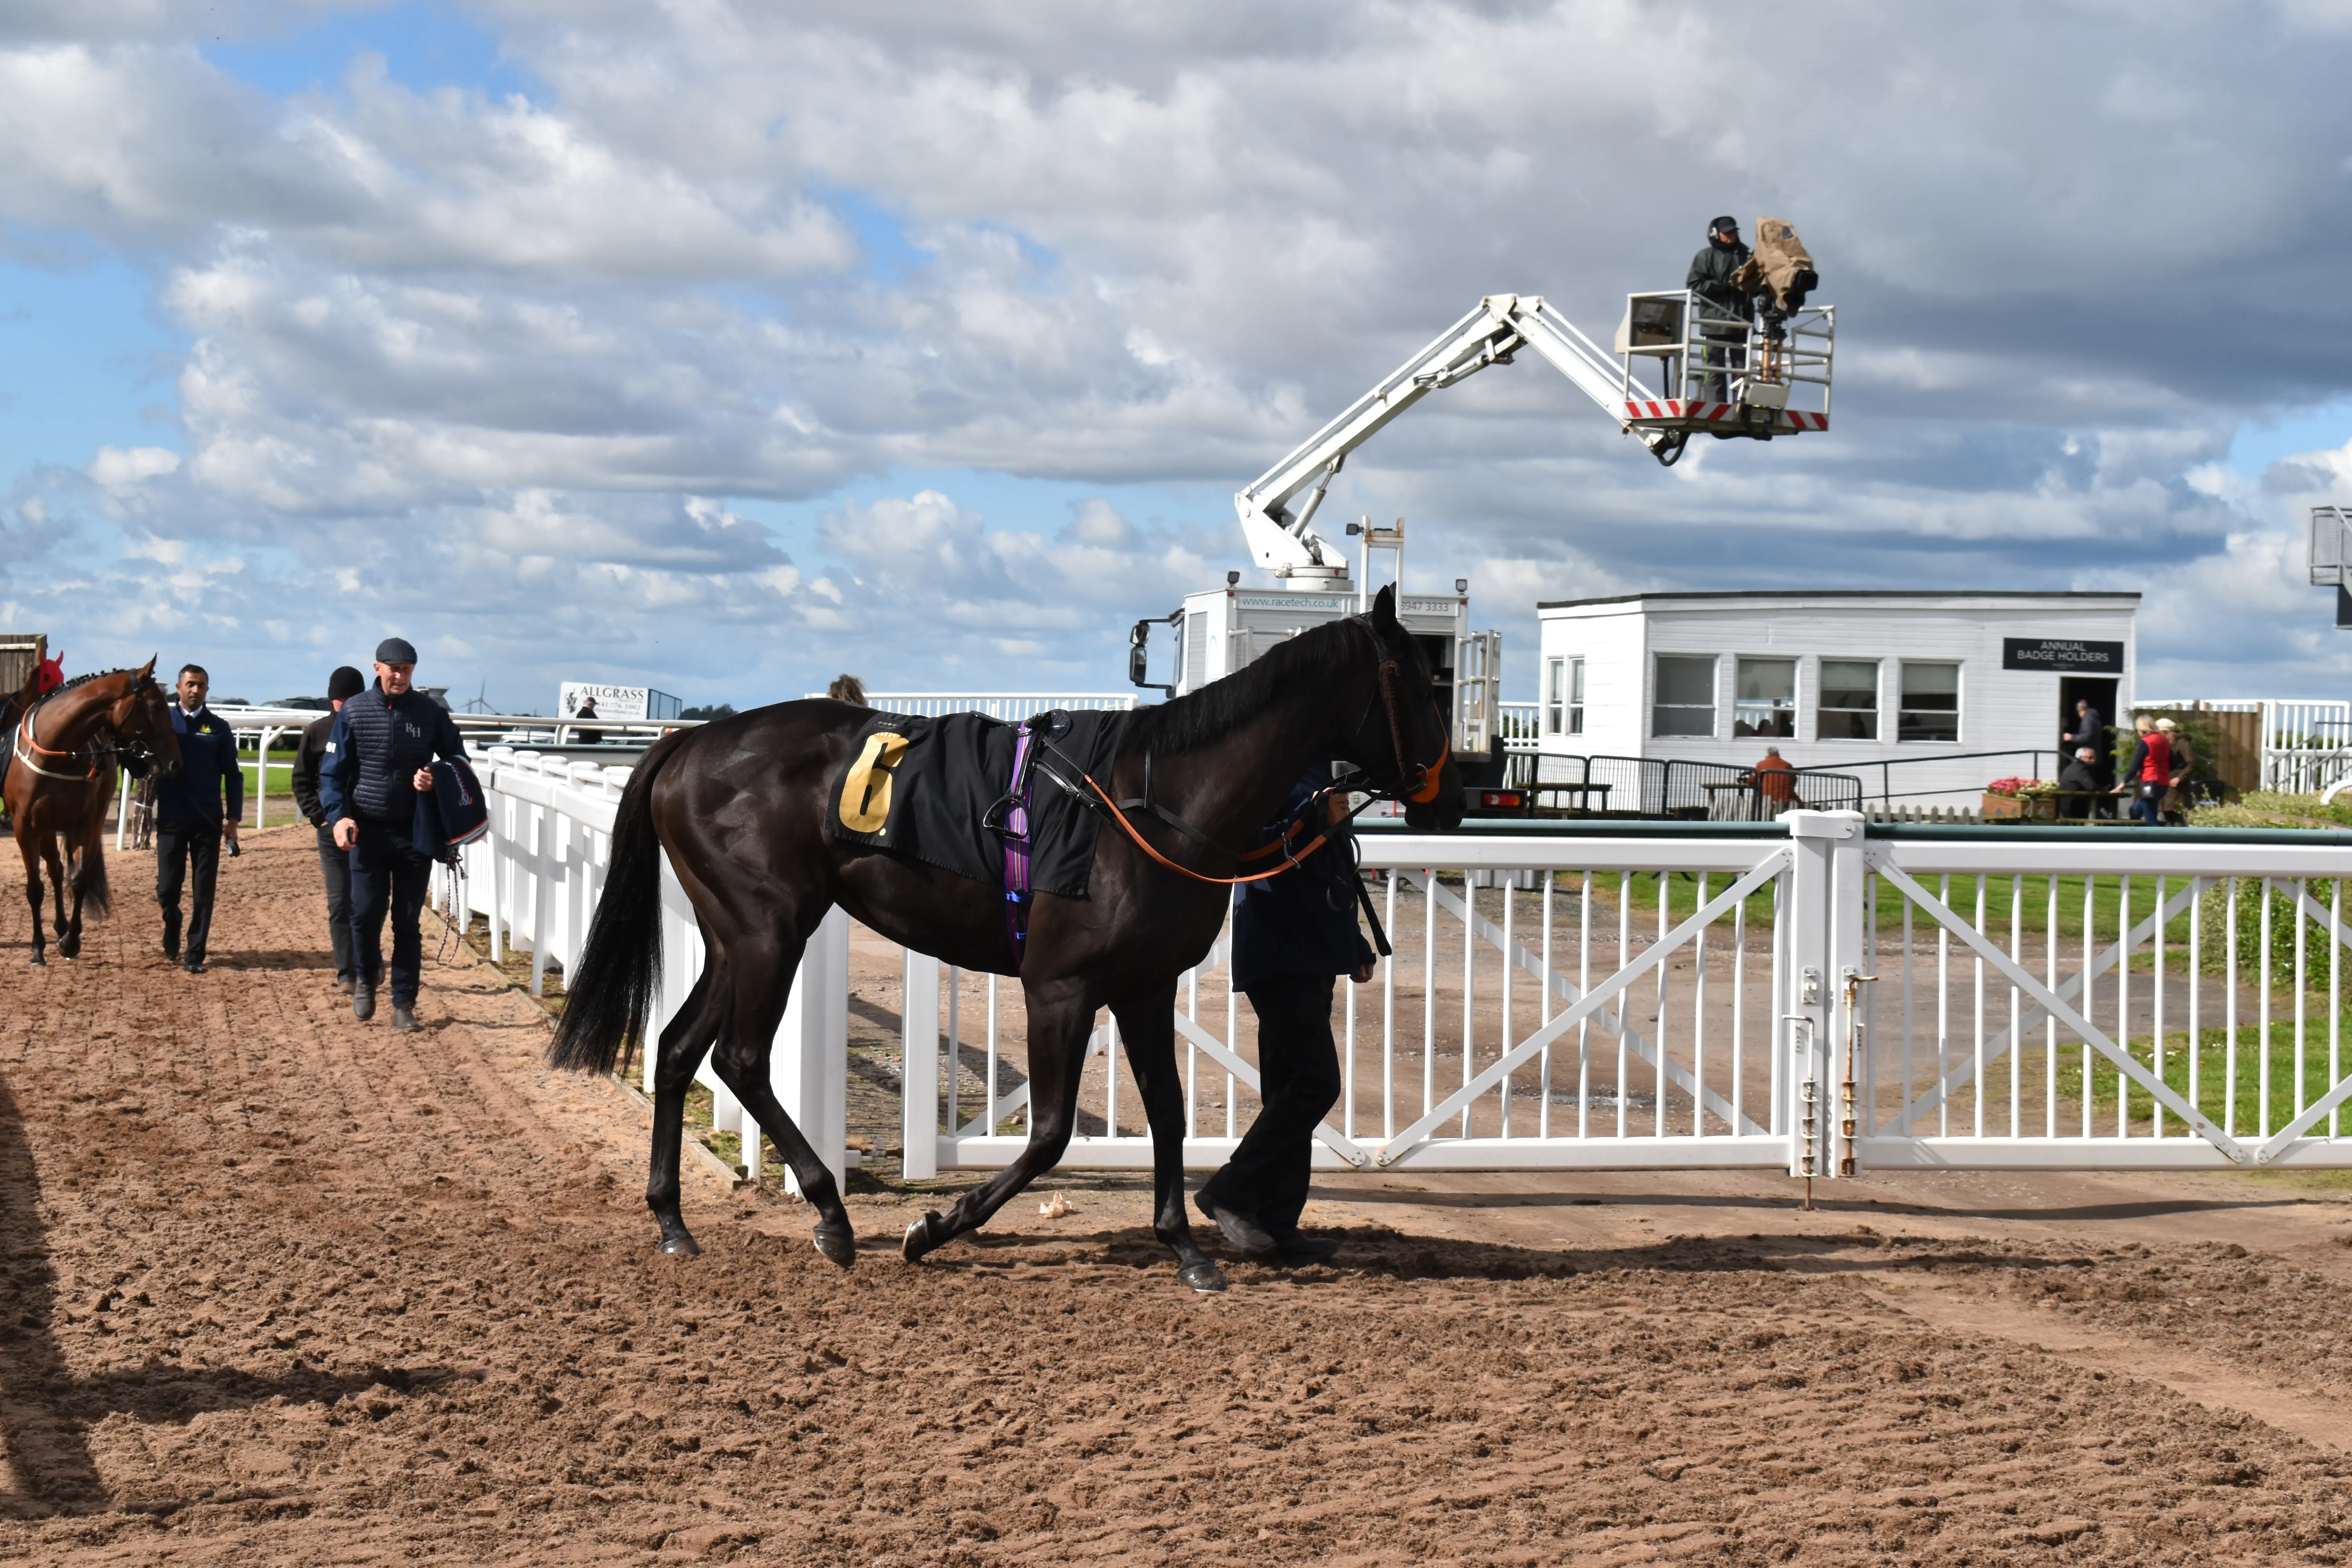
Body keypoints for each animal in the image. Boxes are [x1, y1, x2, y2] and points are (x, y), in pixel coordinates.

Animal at [557, 585, 1458, 1288]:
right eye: (1422, 684)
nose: (1449, 801)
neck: (1157, 800)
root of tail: (689, 744)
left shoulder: (1144, 984)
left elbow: (1167, 1112)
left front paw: (1186, 1247)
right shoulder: (1059, 984)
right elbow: (1053, 1129)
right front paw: (935, 1227)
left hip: (734, 936)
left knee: (677, 1048)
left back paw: (673, 1220)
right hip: (770, 930)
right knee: (741, 1060)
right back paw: (832, 1215)